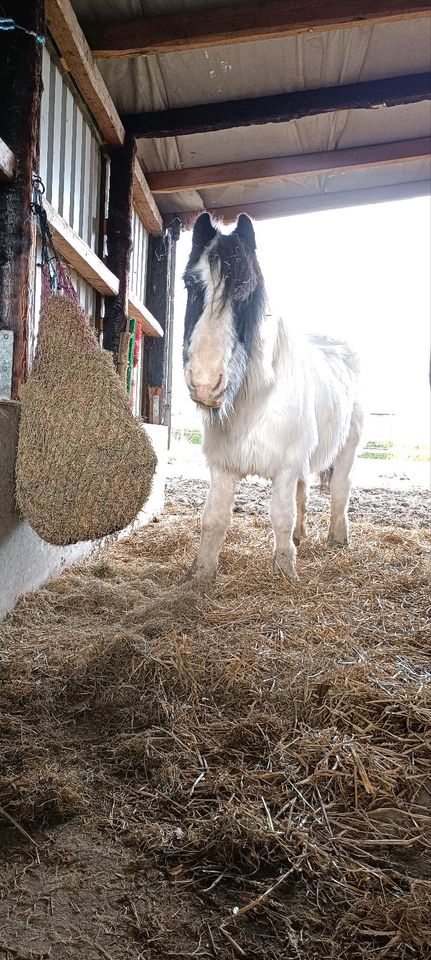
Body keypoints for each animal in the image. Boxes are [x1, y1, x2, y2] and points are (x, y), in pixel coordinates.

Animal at [182, 214, 364, 580]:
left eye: (245, 292)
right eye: (190, 285)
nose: (205, 384)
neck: (256, 399)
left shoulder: (286, 466)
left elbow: (281, 516)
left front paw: (286, 574)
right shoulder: (223, 466)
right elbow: (214, 520)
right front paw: (202, 575)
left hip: (347, 447)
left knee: (340, 489)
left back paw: (338, 539)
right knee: (304, 493)